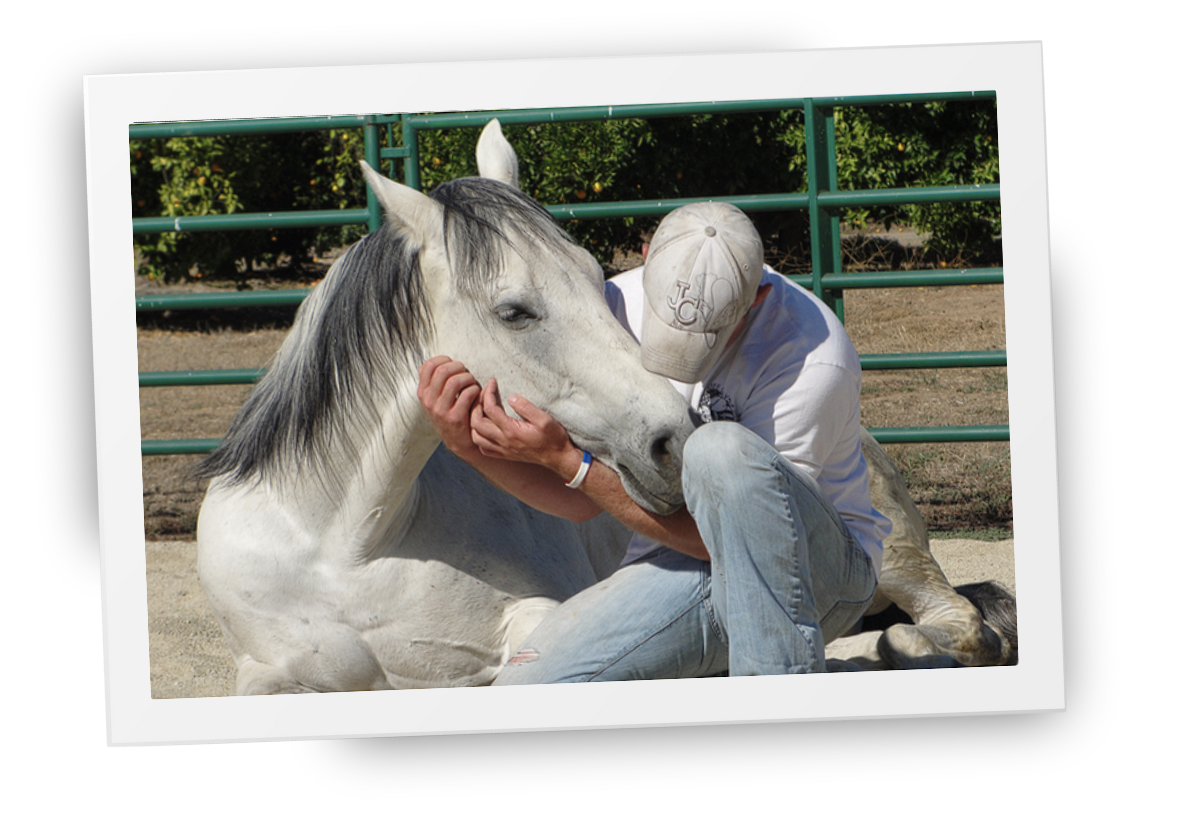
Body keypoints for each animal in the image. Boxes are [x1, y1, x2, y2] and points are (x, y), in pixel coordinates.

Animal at [195, 120, 1016, 694]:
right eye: (515, 311)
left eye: (597, 278)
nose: (674, 444)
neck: (350, 542)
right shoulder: (261, 676)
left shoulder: (531, 623)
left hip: (897, 565)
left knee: (956, 627)